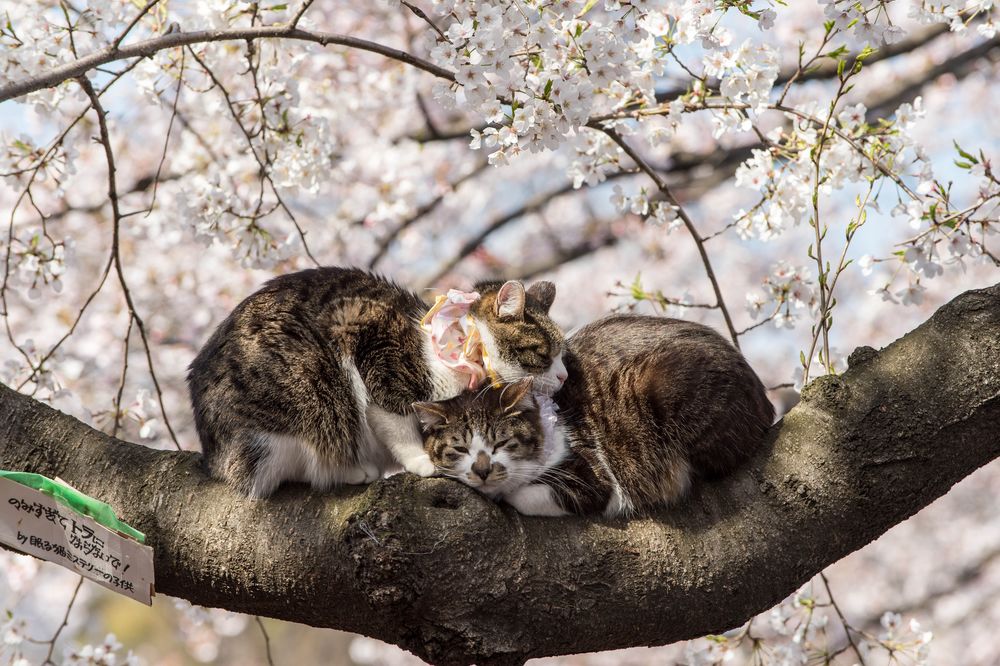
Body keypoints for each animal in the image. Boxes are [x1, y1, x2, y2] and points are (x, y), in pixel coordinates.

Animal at [185, 268, 568, 496]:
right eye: (544, 352)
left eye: (563, 352)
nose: (564, 375)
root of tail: (214, 455)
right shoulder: (371, 345)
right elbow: (394, 422)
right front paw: (423, 461)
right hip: (304, 404)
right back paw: (351, 470)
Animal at [414, 314, 772, 516]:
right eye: (460, 448)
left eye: (501, 442)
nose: (483, 468)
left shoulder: (591, 475)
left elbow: (530, 494)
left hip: (664, 382)